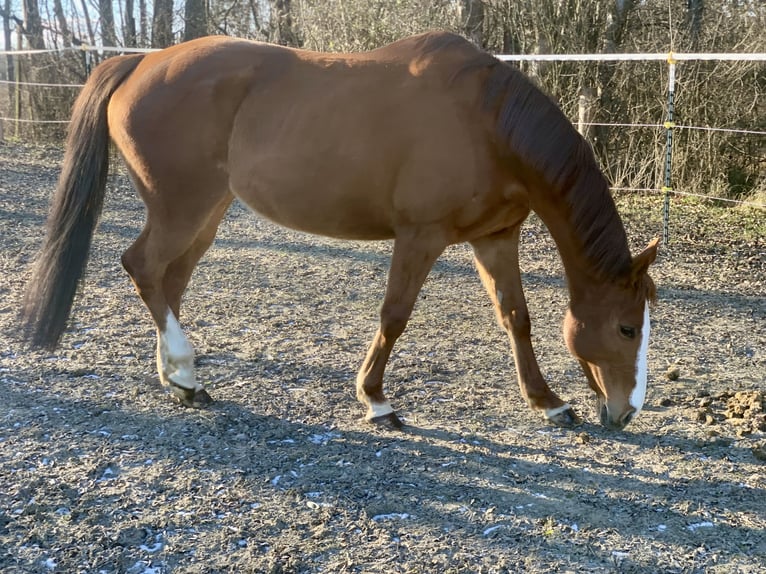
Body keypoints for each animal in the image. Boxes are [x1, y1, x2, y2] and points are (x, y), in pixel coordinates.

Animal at [21, 31, 658, 431]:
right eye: (627, 328)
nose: (627, 410)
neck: (488, 125)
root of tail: (143, 61)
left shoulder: (495, 238)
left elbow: (516, 319)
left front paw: (547, 403)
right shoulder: (420, 236)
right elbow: (395, 316)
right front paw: (376, 401)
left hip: (206, 213)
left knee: (168, 280)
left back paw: (179, 380)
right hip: (182, 207)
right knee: (144, 268)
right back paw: (181, 366)